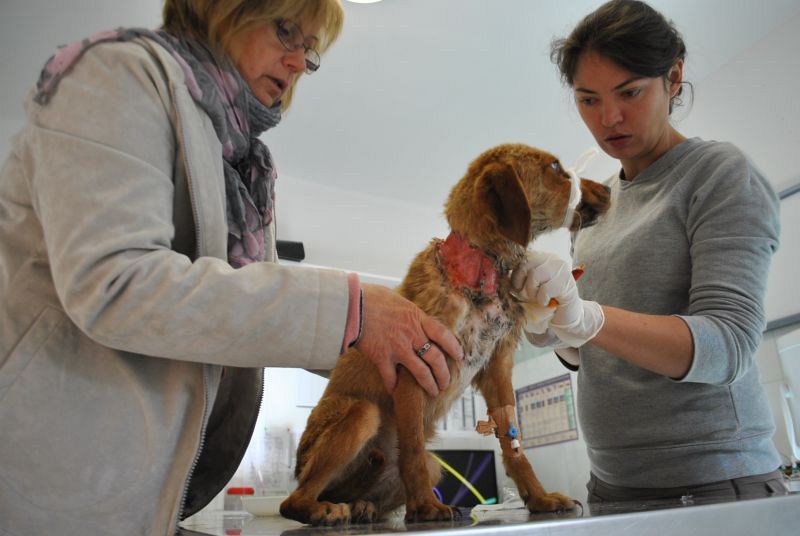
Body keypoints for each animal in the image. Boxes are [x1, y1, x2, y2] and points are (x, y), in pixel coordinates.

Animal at [280, 143, 611, 525]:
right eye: (555, 167)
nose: (609, 189)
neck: (476, 273)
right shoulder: (412, 368)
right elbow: (411, 448)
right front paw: (425, 505)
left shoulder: (497, 369)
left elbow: (513, 445)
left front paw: (539, 498)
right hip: (361, 415)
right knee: (294, 499)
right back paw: (323, 509)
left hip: (433, 464)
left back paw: (364, 507)